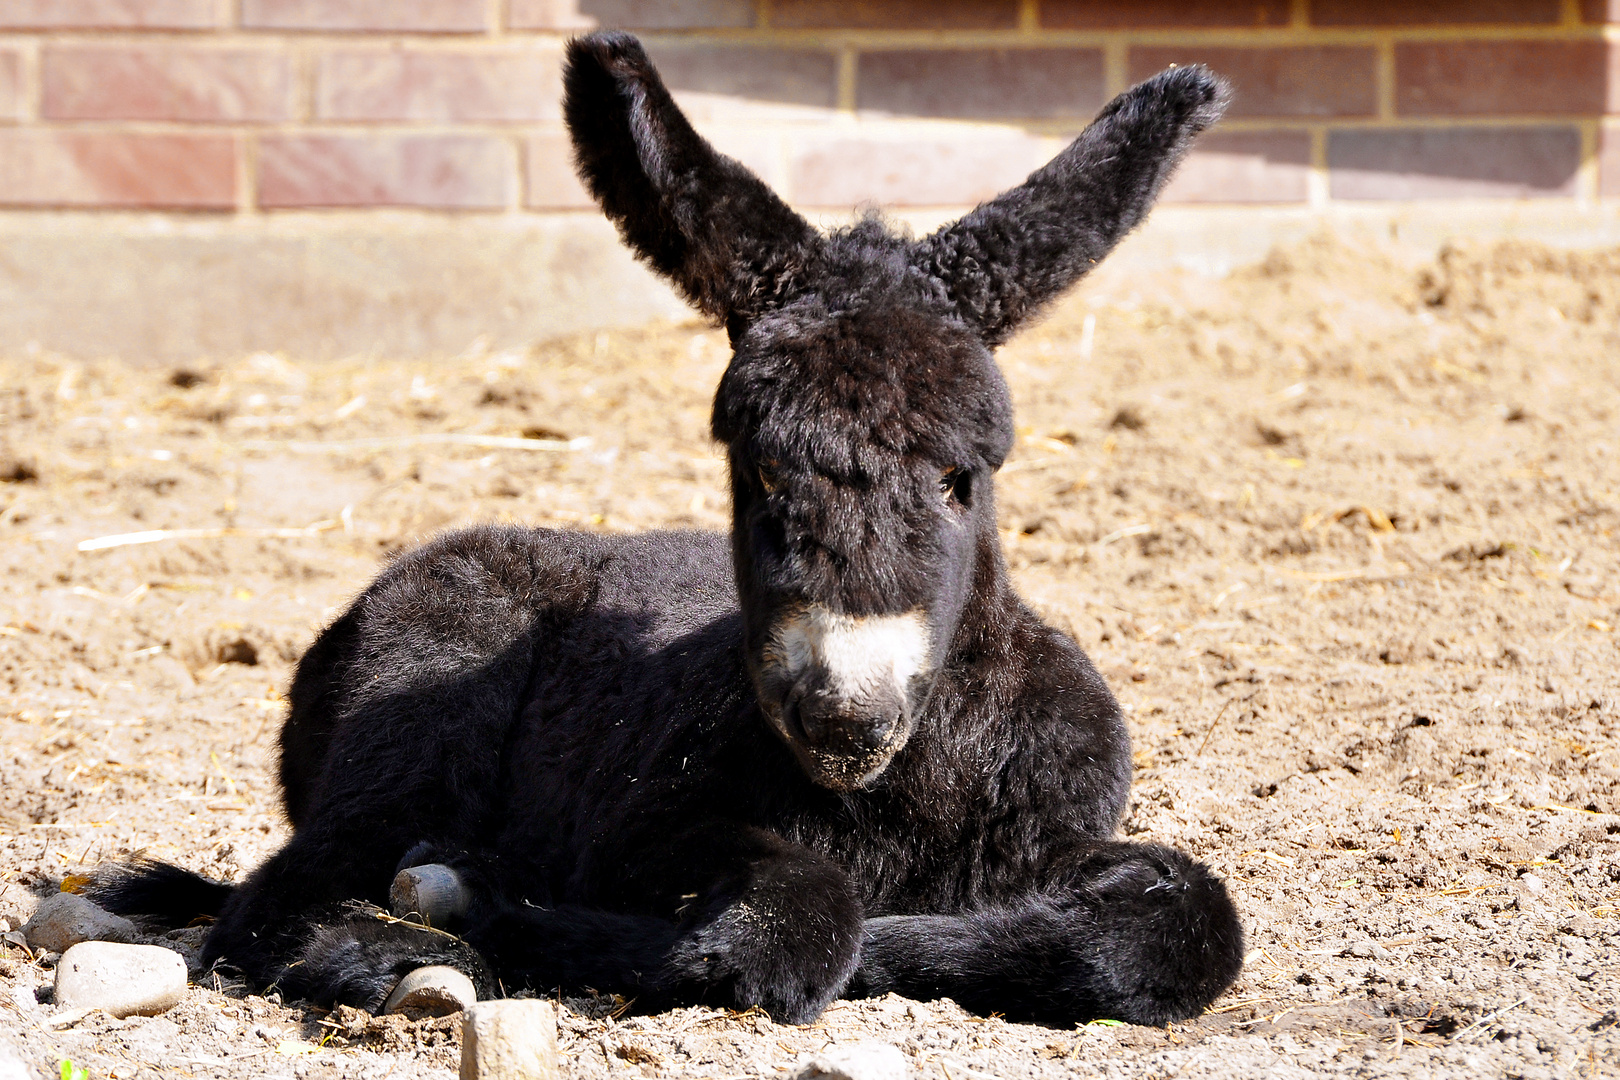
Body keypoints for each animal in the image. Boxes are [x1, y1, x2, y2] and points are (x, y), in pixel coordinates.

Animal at [94, 31, 1244, 1029]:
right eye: (760, 465)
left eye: (962, 478)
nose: (845, 717)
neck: (893, 794)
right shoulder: (651, 832)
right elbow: (789, 927)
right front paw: (505, 915)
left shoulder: (1061, 829)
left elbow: (1183, 926)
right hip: (423, 691)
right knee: (275, 901)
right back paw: (413, 944)